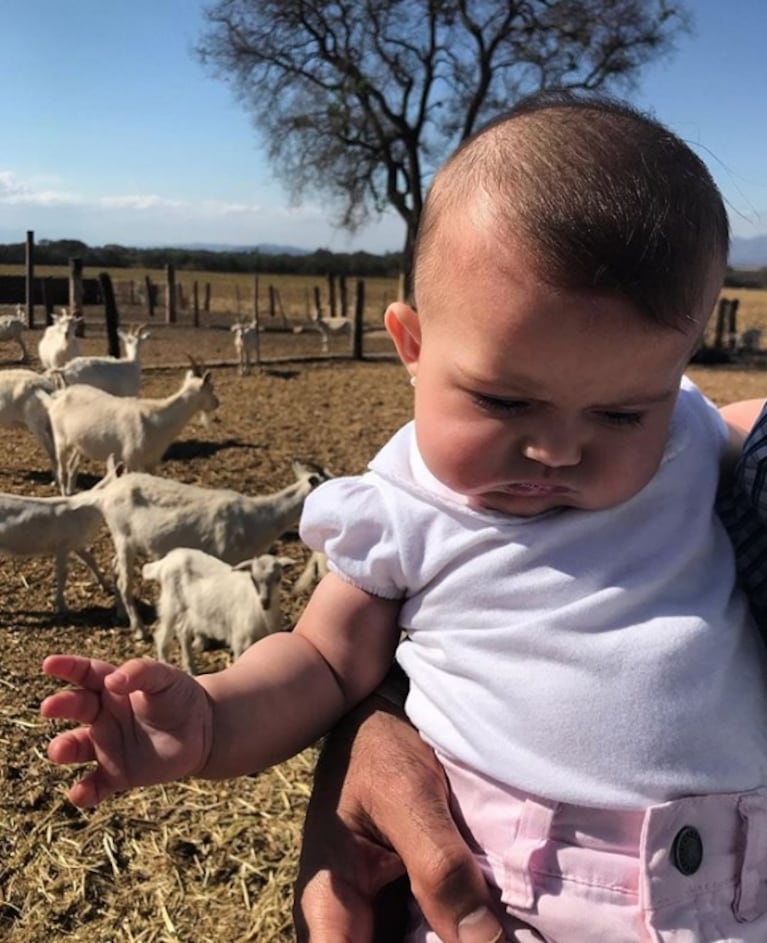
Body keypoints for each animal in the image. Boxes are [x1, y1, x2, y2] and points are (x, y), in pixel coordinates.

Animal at [0, 456, 122, 612]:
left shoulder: (76, 542)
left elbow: (90, 559)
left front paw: (107, 587)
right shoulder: (62, 545)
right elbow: (63, 573)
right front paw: (62, 606)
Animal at [45, 360, 219, 494]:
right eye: (211, 388)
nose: (217, 403)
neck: (156, 419)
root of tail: (58, 396)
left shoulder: (152, 461)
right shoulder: (132, 459)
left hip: (79, 443)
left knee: (72, 465)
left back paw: (71, 491)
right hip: (60, 439)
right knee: (62, 468)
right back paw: (64, 494)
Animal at [98, 460, 330, 640]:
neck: (258, 520)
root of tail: (108, 492)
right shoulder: (225, 556)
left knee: (115, 567)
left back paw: (121, 614)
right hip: (123, 537)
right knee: (124, 581)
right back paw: (139, 630)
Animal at [142, 548, 292, 676]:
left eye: (279, 578)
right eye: (253, 578)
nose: (265, 602)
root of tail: (166, 560)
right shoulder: (240, 640)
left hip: (190, 609)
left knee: (183, 631)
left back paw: (192, 670)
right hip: (172, 603)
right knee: (161, 635)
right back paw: (165, 663)